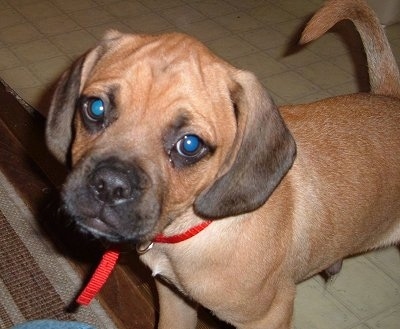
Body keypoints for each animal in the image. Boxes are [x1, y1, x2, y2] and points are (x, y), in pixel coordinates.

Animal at [46, 0, 400, 328]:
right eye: (95, 107)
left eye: (189, 145)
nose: (109, 185)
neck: (189, 229)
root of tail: (391, 99)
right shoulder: (175, 300)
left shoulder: (270, 316)